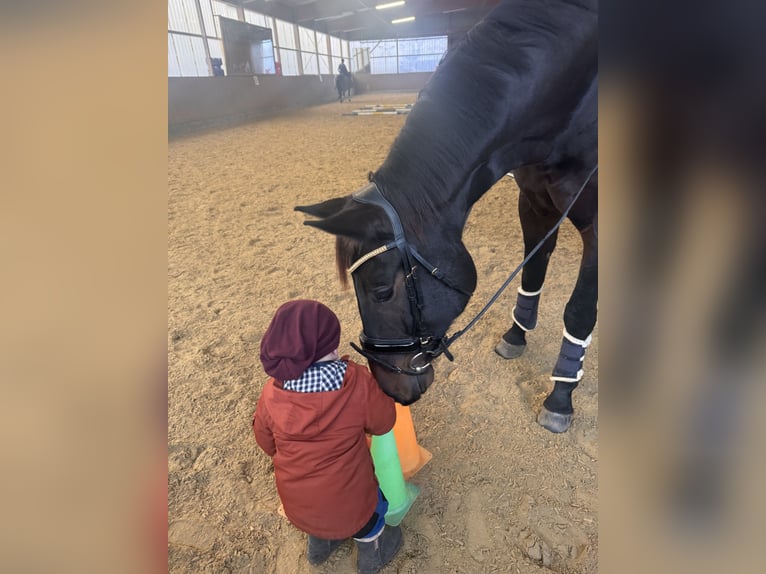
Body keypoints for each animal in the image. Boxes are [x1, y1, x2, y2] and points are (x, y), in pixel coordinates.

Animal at [296, 0, 596, 432]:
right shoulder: (534, 202)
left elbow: (579, 308)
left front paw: (560, 396)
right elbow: (533, 271)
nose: (390, 387)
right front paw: (515, 337)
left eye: (382, 291)